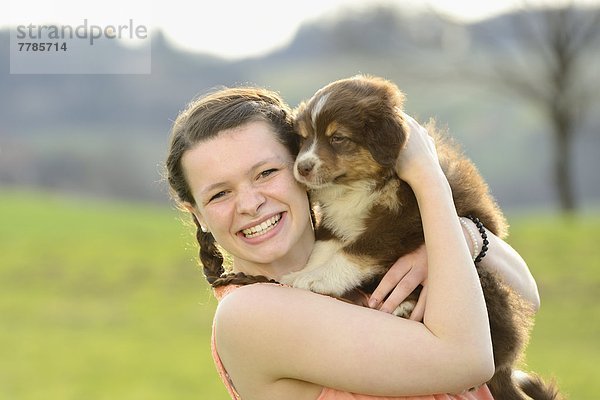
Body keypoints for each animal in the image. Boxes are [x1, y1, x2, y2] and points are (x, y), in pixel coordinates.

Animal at [284, 75, 560, 400]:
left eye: (338, 138)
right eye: (303, 139)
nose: (302, 167)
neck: (358, 186)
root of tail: (504, 366)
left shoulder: (408, 218)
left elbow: (357, 250)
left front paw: (318, 279)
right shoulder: (334, 222)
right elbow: (323, 248)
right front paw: (303, 273)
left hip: (484, 281)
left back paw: (405, 307)